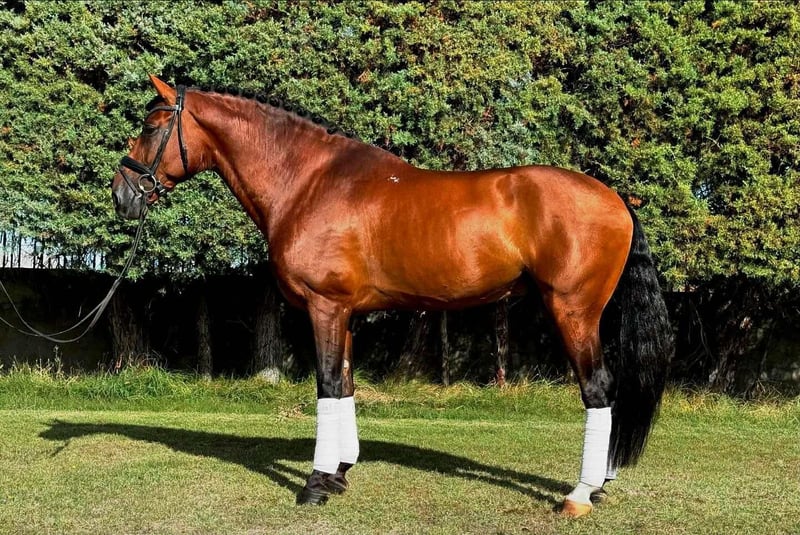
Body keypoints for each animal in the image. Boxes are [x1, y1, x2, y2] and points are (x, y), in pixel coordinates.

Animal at [112, 76, 673, 518]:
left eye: (151, 126)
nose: (121, 195)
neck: (309, 181)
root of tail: (615, 198)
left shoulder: (324, 306)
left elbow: (326, 384)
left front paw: (315, 485)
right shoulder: (345, 312)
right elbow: (345, 385)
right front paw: (339, 472)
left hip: (572, 310)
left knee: (598, 389)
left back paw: (580, 493)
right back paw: (600, 483)